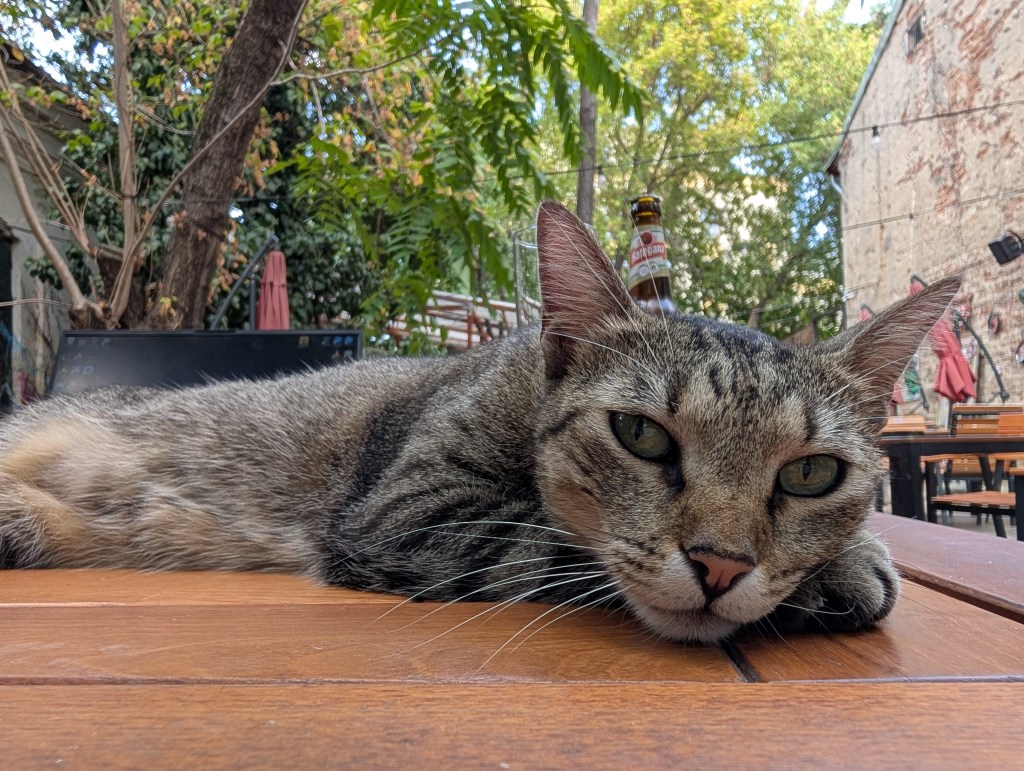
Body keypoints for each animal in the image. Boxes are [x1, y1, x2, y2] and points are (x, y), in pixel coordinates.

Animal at [0, 201, 957, 644]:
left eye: (810, 473)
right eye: (641, 434)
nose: (722, 565)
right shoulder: (408, 507)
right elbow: (556, 547)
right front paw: (850, 566)